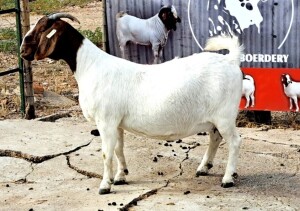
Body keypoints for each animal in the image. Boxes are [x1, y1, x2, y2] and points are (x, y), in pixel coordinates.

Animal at [21, 13, 244, 195]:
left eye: (42, 28)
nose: (23, 50)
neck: (90, 67)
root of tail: (231, 61)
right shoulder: (116, 122)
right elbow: (118, 149)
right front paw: (120, 177)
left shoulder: (105, 121)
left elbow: (106, 153)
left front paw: (105, 186)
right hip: (215, 118)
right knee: (215, 138)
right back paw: (203, 168)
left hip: (225, 116)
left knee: (234, 141)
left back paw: (227, 179)